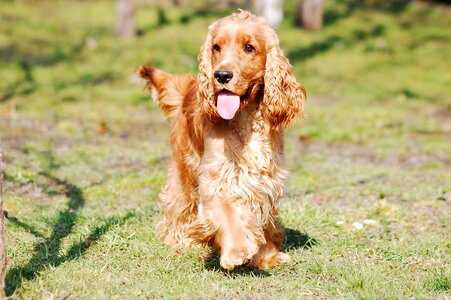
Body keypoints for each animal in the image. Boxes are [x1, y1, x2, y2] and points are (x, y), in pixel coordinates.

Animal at [139, 10, 308, 270]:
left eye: (249, 47)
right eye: (216, 47)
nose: (221, 75)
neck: (246, 119)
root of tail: (189, 87)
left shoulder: (265, 179)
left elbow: (261, 215)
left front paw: (267, 256)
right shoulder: (218, 177)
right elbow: (228, 212)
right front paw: (237, 251)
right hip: (185, 165)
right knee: (178, 202)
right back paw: (181, 239)